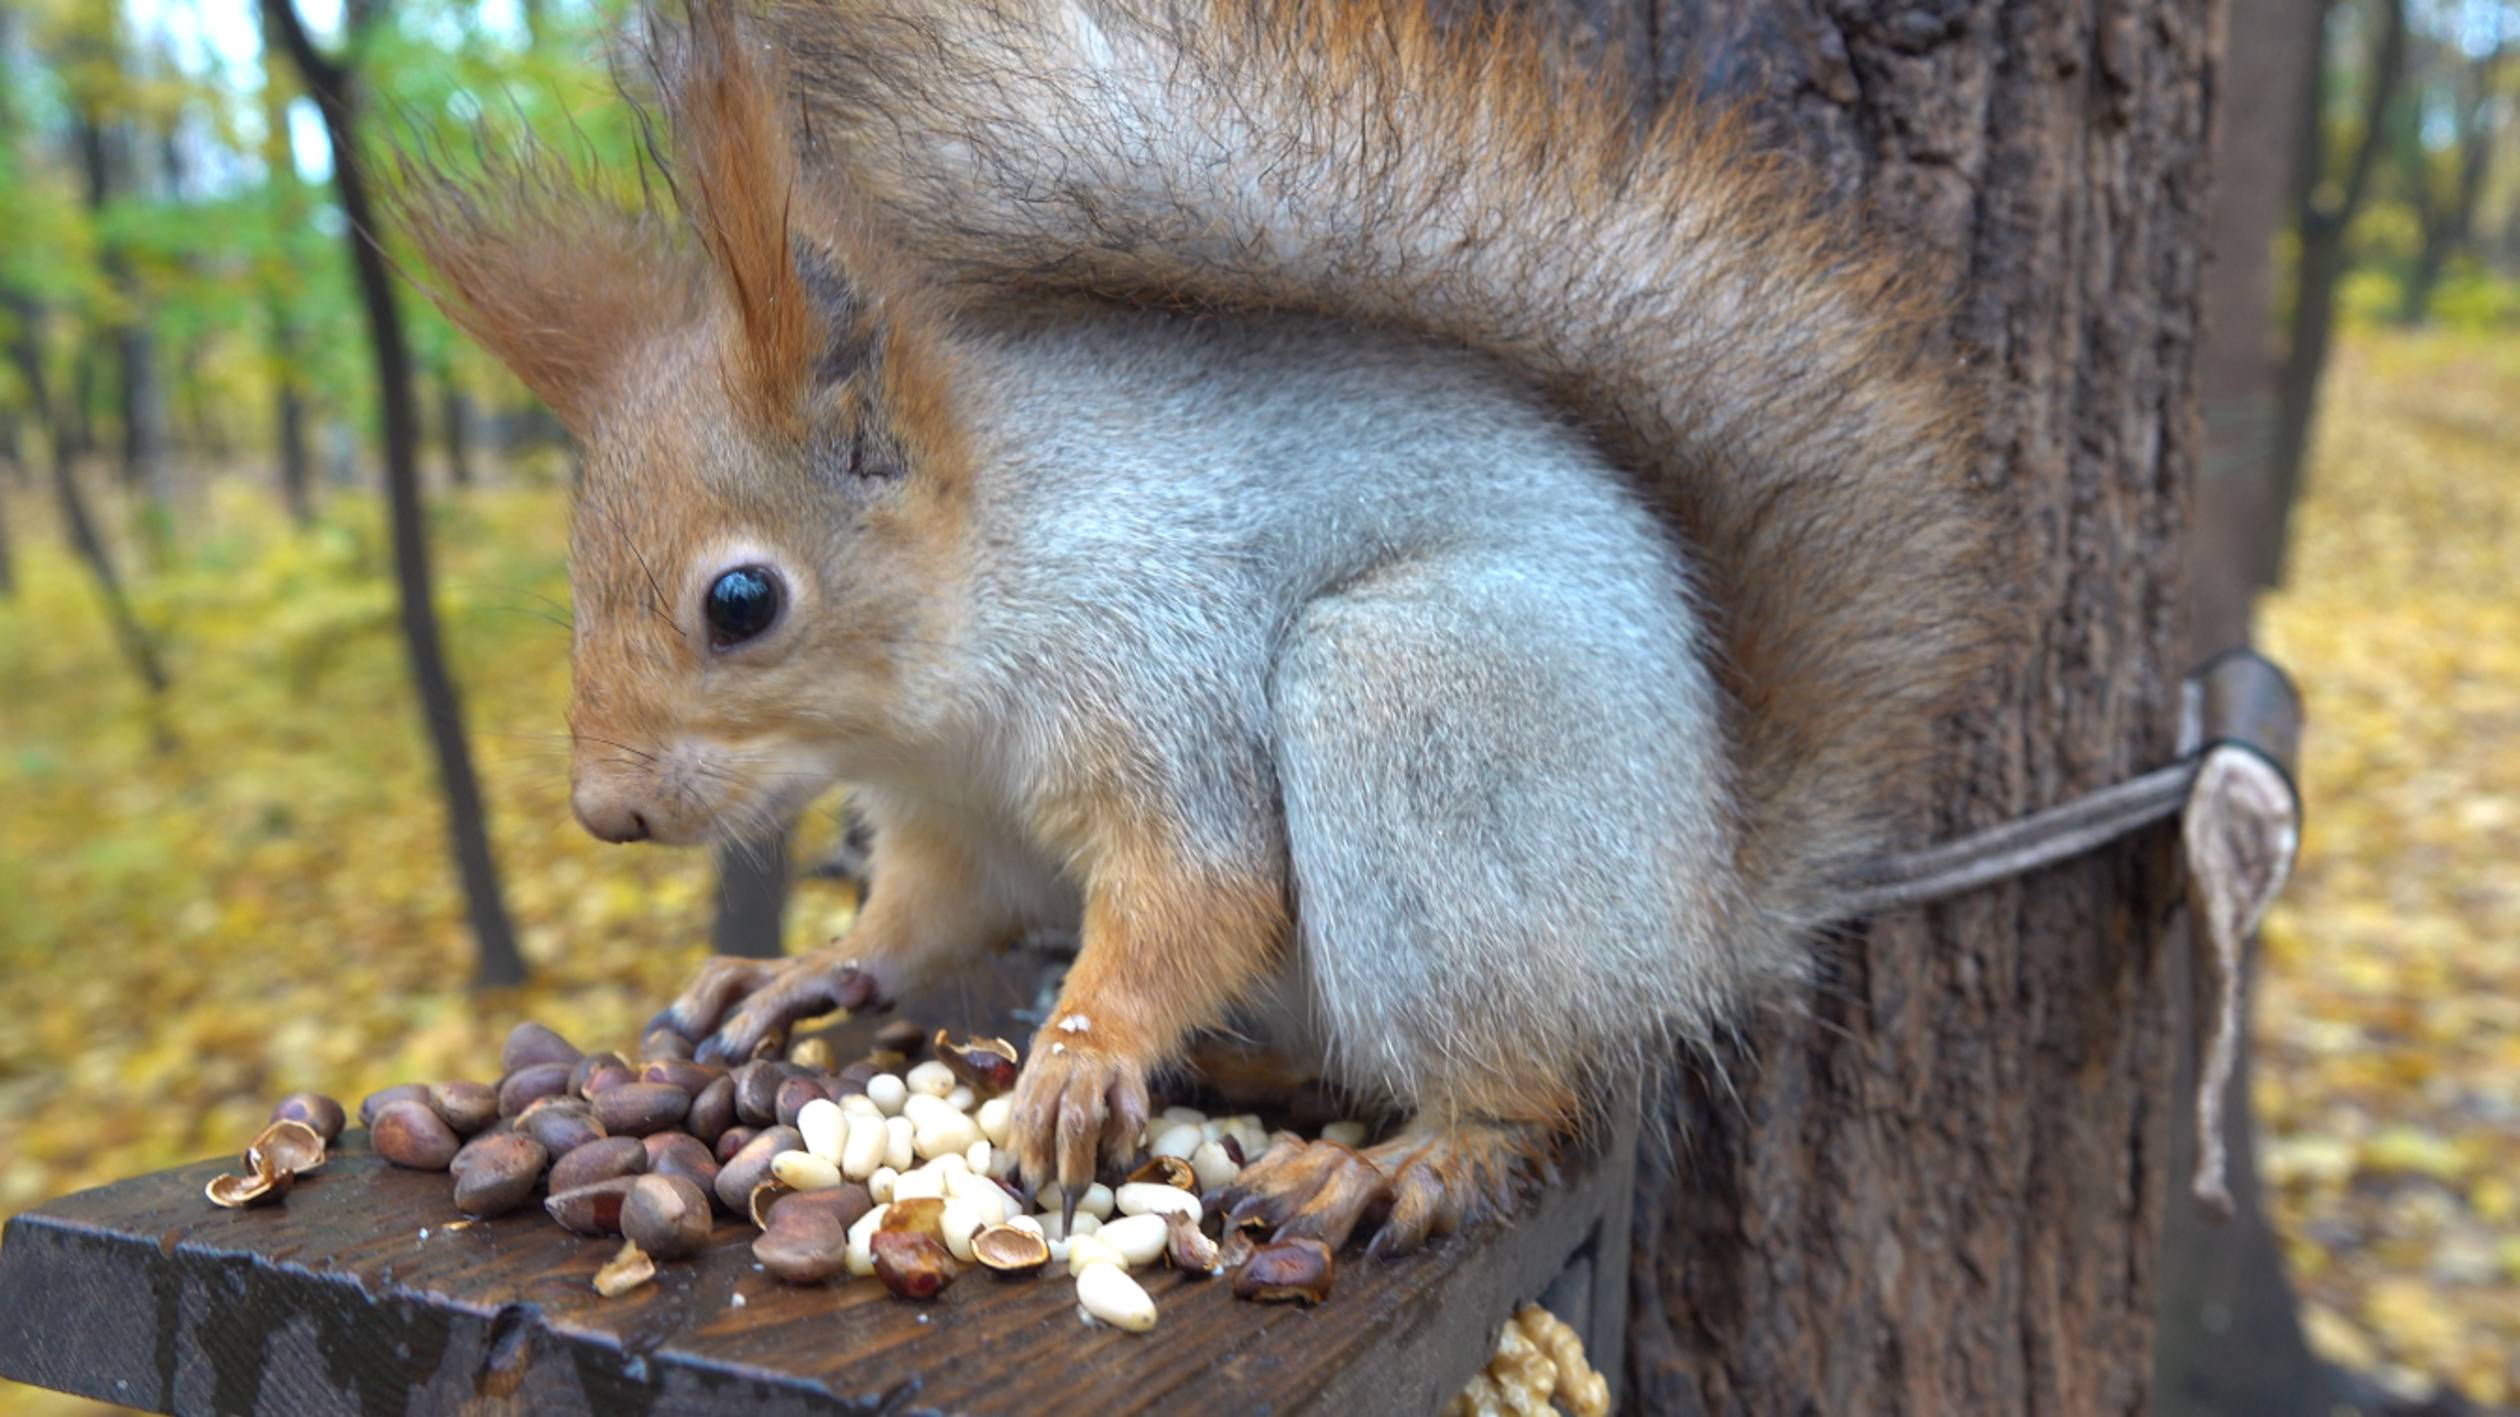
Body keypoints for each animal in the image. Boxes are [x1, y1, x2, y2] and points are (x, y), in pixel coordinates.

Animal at [397, 0, 1994, 1252]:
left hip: (1415, 701)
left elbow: (1202, 885)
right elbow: (919, 919)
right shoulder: (953, 821)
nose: (604, 812)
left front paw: (1077, 1055)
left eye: (742, 601)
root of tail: (1701, 908)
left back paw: (1408, 1159)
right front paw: (797, 969)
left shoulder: (1155, 657)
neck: (958, 663)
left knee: (1531, 1087)